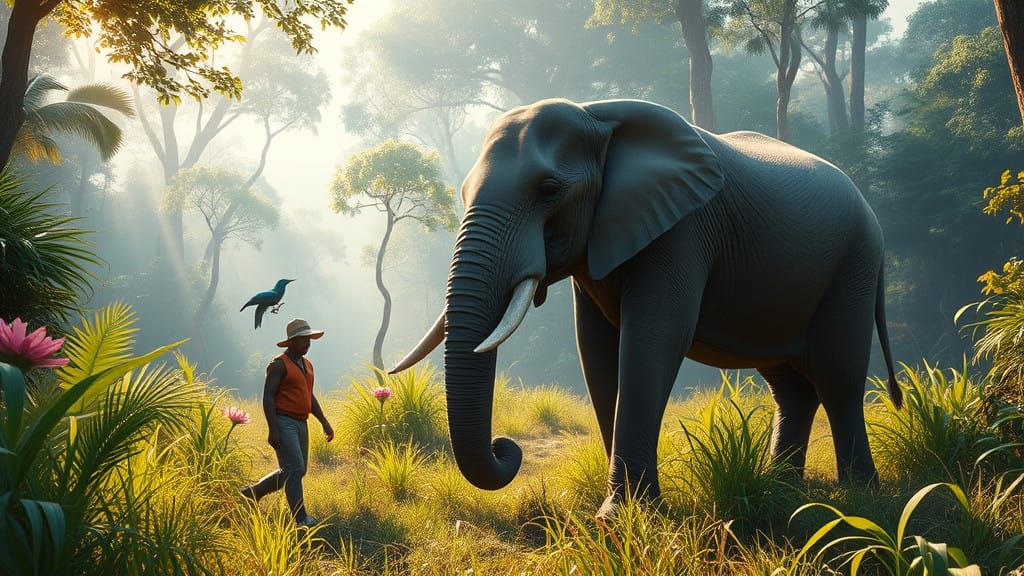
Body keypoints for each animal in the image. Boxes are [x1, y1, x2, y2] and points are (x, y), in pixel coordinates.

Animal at [390, 98, 902, 518]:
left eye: (549, 189)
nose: (506, 447)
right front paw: (631, 511)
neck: (596, 115)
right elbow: (595, 351)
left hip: (855, 264)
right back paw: (782, 491)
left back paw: (859, 495)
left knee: (838, 376)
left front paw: (618, 518)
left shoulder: (683, 230)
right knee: (790, 385)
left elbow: (653, 341)